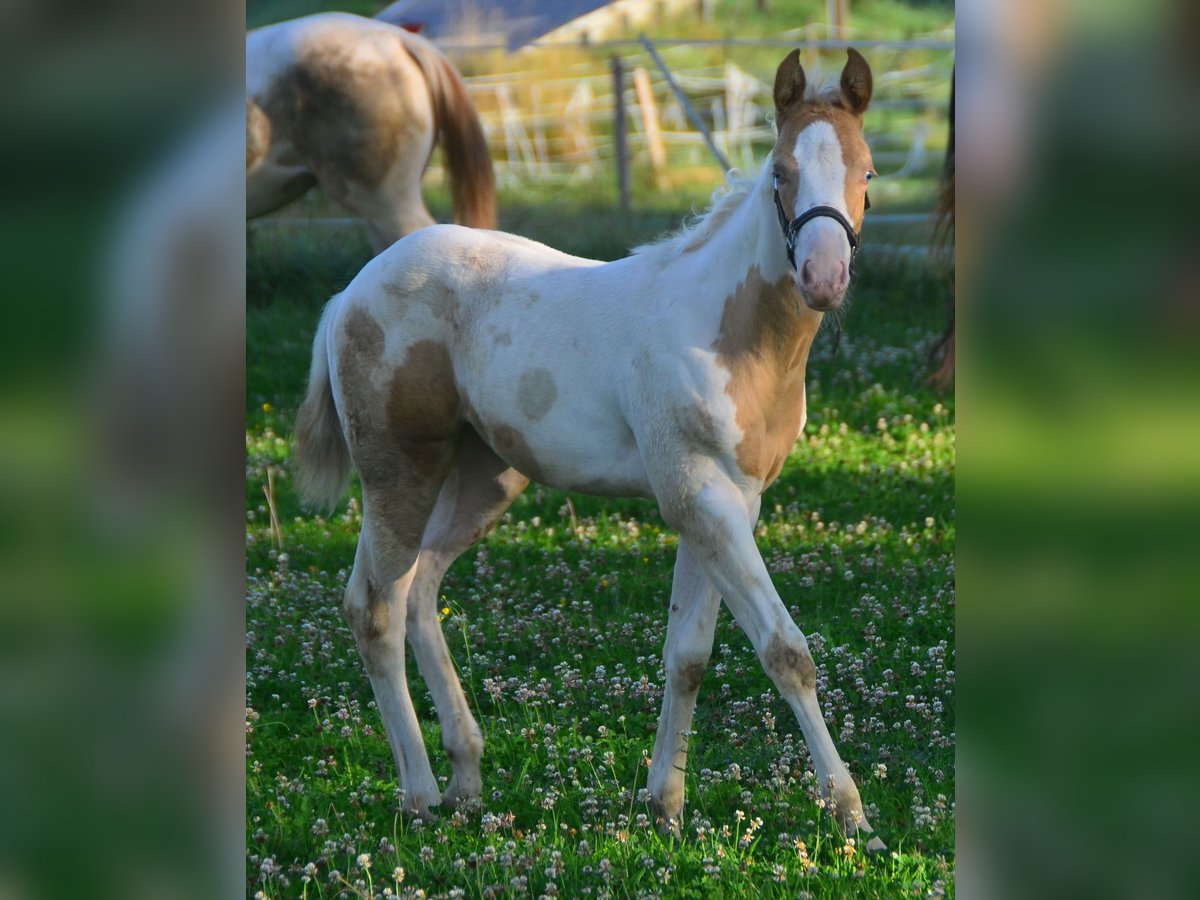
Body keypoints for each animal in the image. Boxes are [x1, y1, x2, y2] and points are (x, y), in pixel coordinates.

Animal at [295, 49, 888, 849]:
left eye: (866, 172)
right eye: (780, 172)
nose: (823, 279)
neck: (729, 329)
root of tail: (349, 293)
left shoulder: (732, 502)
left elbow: (688, 655)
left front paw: (665, 806)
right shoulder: (699, 494)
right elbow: (785, 651)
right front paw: (852, 813)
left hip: (484, 477)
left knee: (420, 592)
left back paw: (466, 779)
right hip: (399, 473)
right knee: (375, 606)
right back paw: (418, 794)